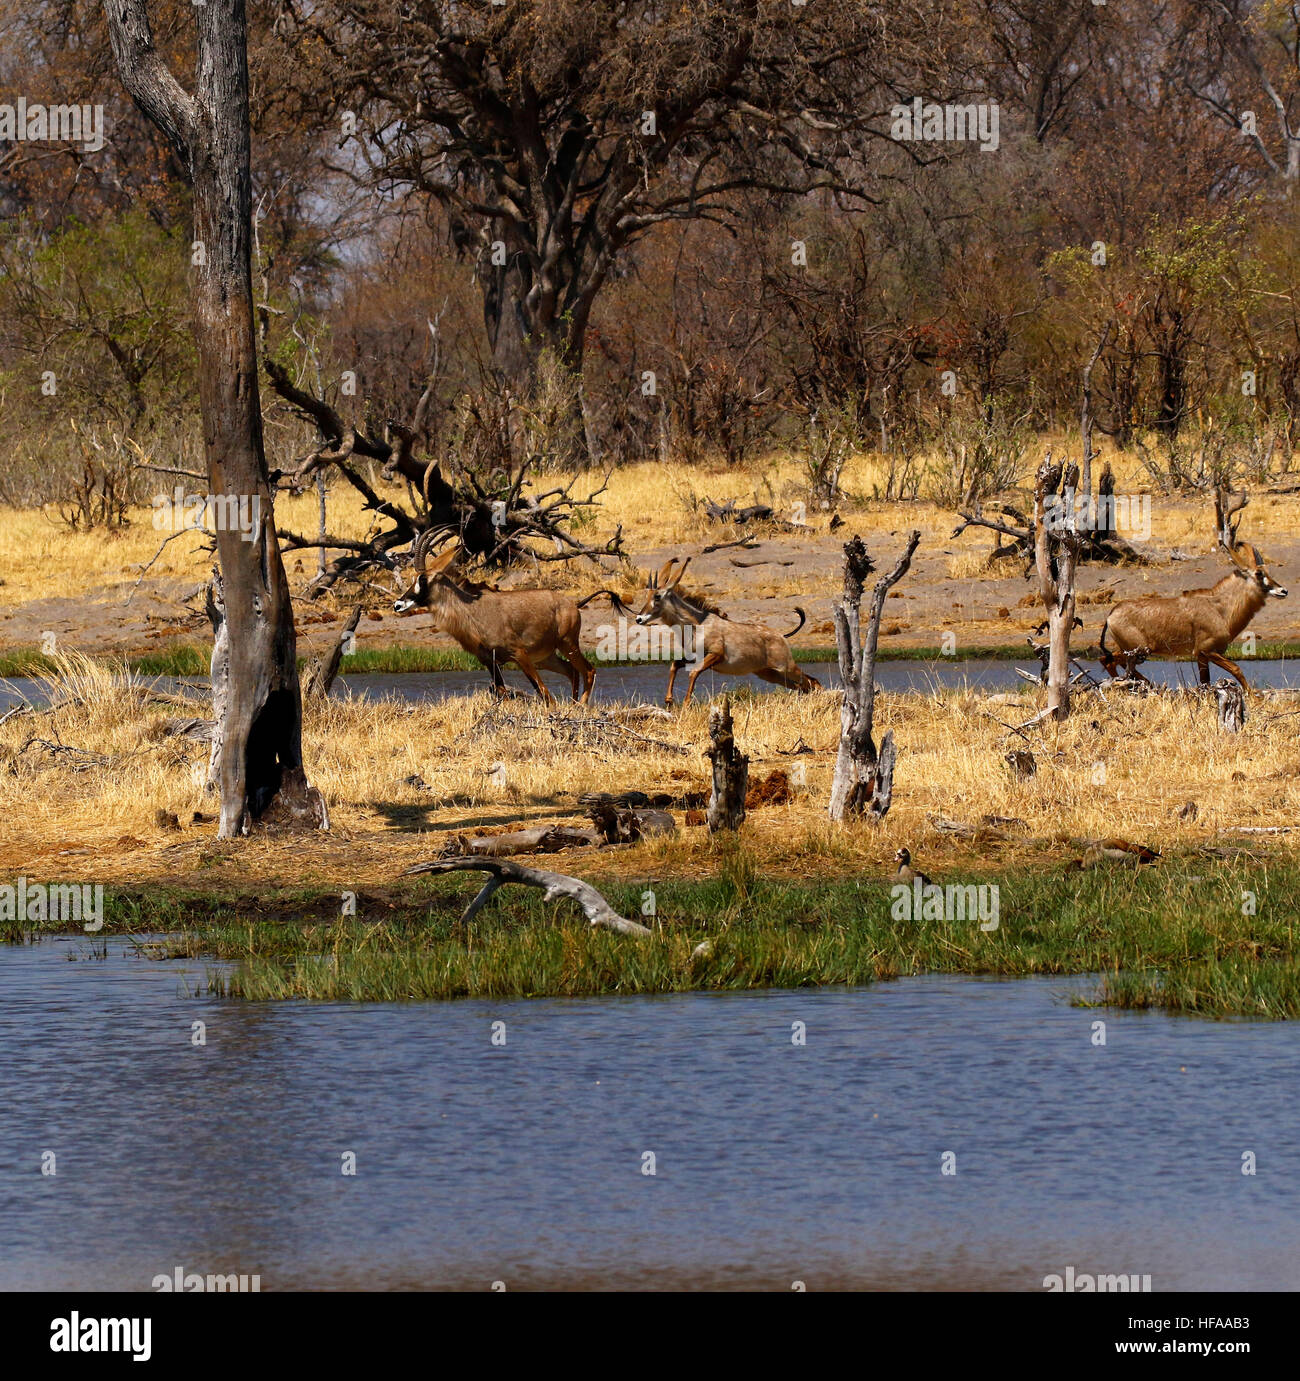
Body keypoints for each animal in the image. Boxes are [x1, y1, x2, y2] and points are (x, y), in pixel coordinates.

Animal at [392, 527, 602, 701]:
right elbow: (502, 691)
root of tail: (571, 604)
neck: (471, 610)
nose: (398, 605)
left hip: (567, 644)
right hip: (546, 657)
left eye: (423, 579)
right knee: (571, 670)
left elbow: (544, 693)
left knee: (588, 670)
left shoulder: (518, 654)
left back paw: (580, 706)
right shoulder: (488, 661)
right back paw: (574, 703)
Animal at [632, 555, 823, 707]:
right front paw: (669, 700)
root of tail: (781, 636)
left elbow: (693, 672)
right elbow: (674, 665)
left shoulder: (716, 654)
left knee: (812, 681)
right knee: (801, 686)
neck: (698, 624)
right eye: (646, 595)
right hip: (768, 673)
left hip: (785, 667)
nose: (639, 619)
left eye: (657, 596)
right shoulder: (693, 656)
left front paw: (686, 703)